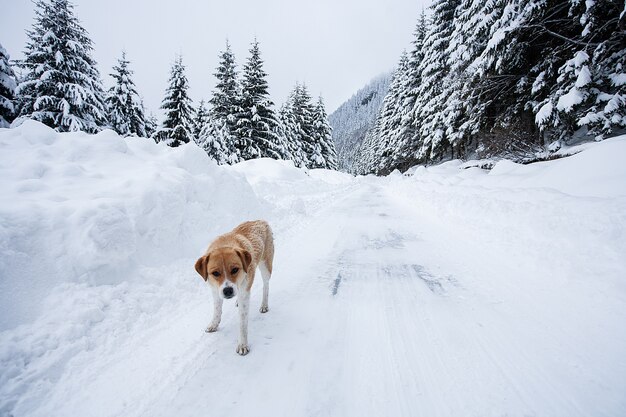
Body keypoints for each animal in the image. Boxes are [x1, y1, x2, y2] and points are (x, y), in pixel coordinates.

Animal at [194, 221, 274, 354]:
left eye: (235, 269)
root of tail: (260, 221)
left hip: (265, 265)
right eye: (215, 273)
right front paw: (214, 324)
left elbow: (242, 323)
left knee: (266, 285)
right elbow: (217, 310)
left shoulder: (244, 294)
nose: (228, 291)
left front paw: (242, 345)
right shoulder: (216, 291)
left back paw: (264, 305)